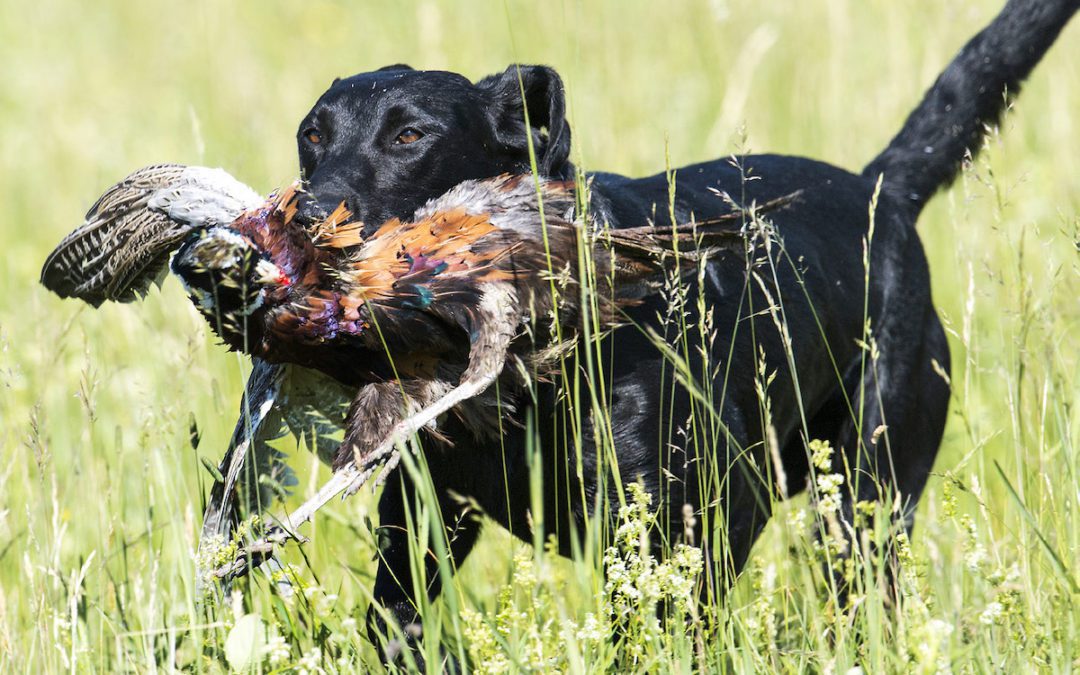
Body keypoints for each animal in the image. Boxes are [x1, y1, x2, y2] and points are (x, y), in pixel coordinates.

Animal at [291, 0, 1075, 652]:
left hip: (867, 491)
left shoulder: (707, 513)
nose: (305, 220)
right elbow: (396, 623)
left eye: (409, 135)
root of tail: (882, 191)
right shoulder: (420, 513)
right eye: (312, 135)